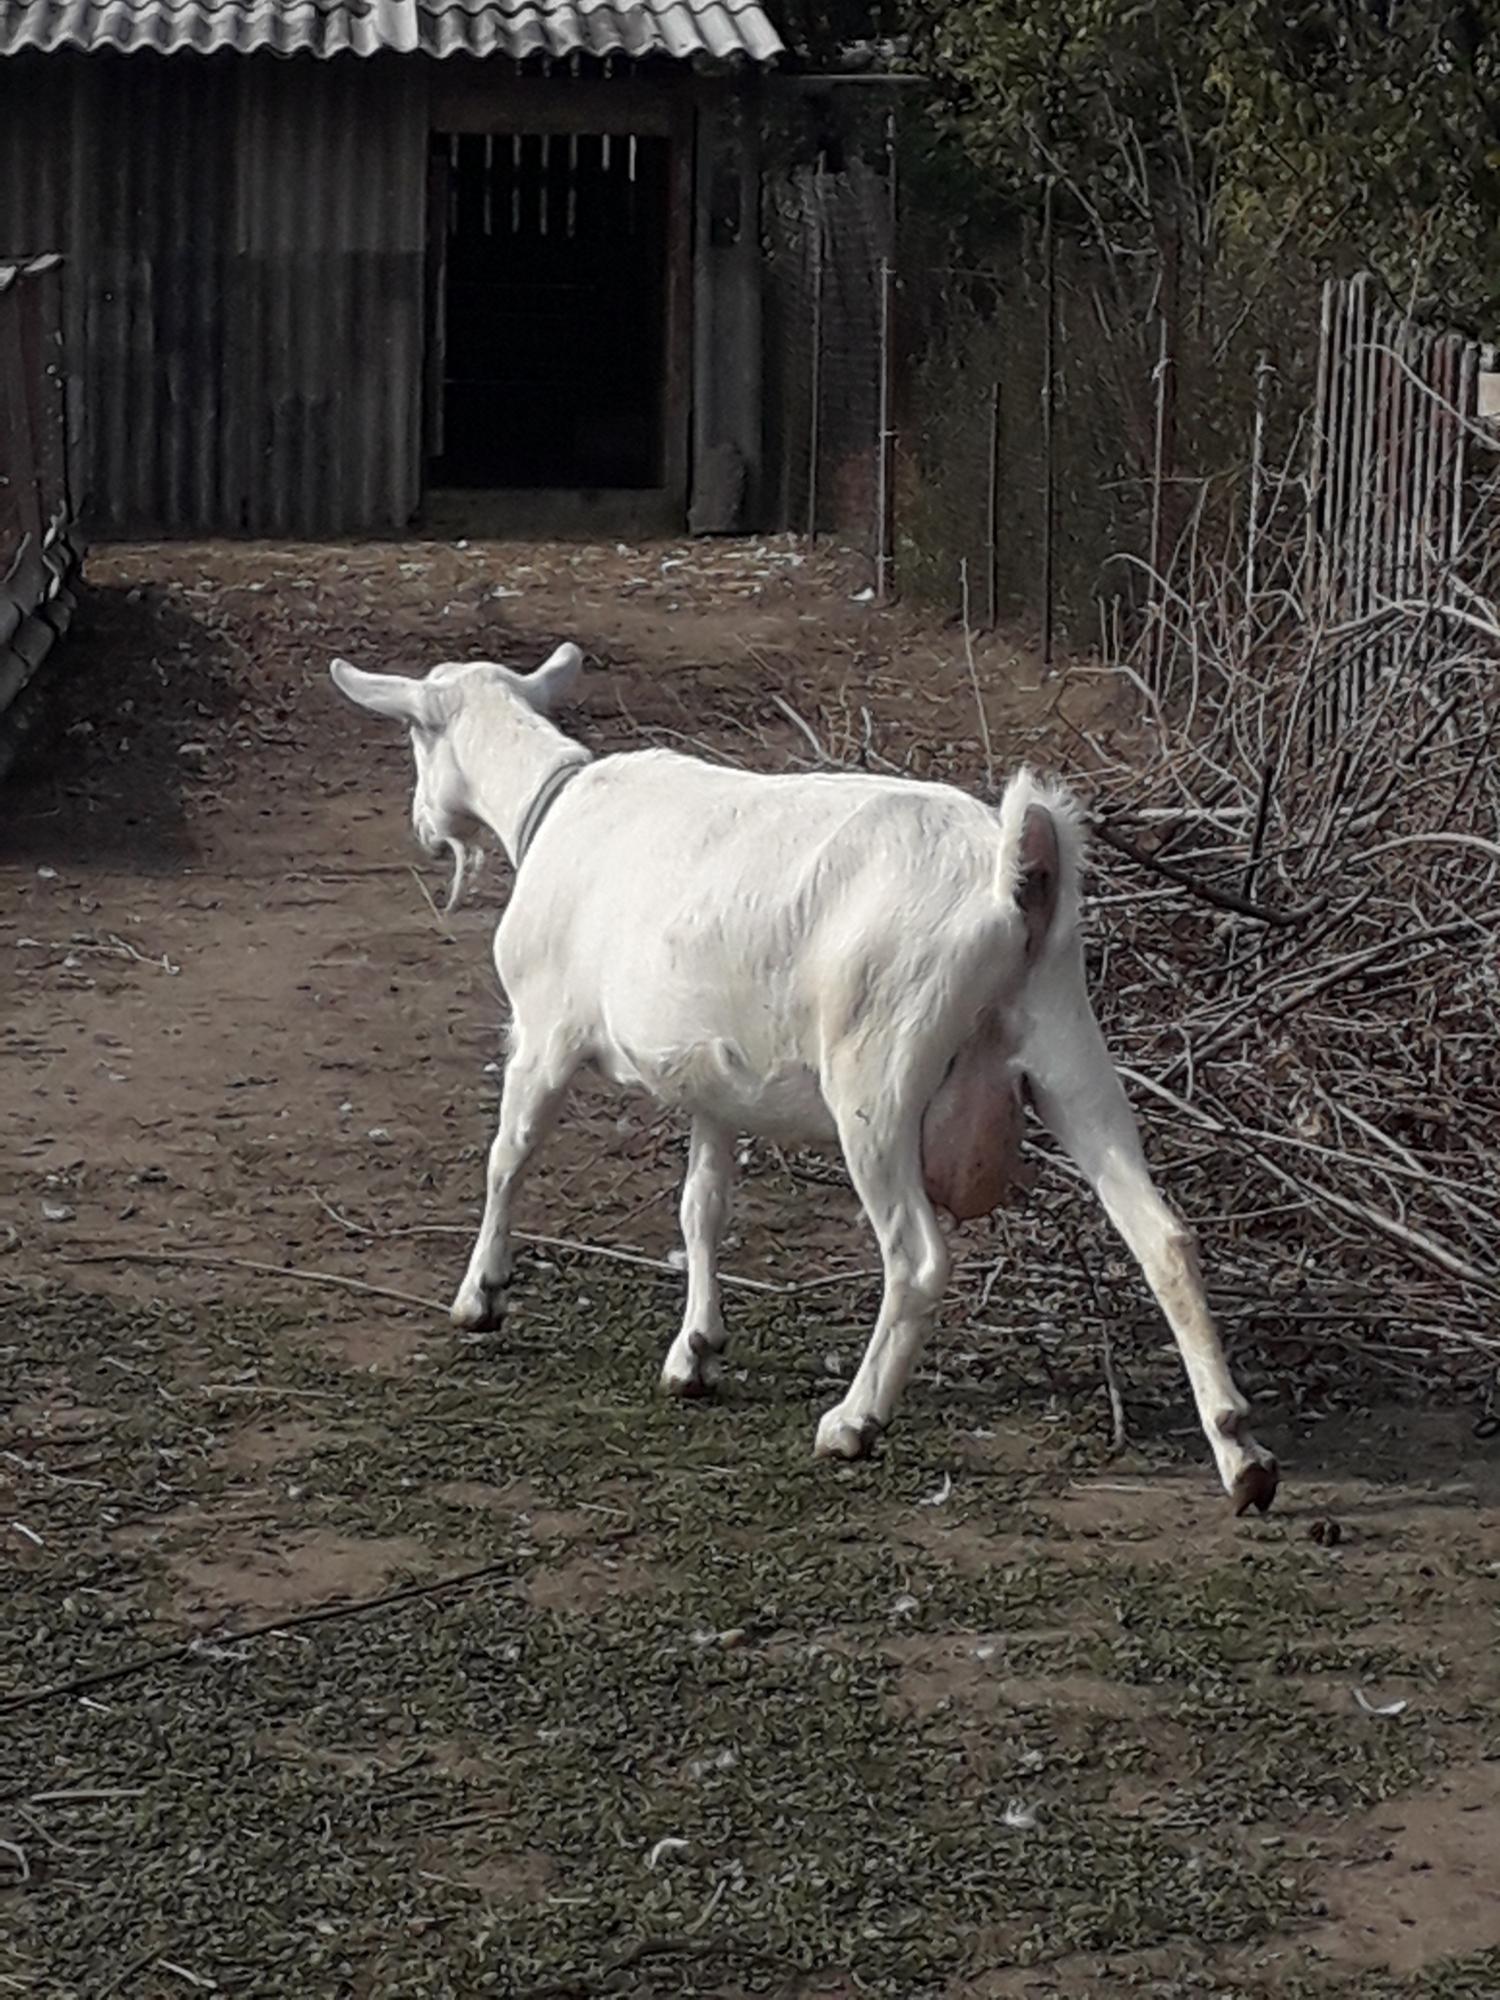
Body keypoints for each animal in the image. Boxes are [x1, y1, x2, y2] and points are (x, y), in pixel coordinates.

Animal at [328, 644, 1280, 1512]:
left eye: (416, 734)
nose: (423, 827)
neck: (550, 804)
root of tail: (1015, 872)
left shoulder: (544, 1031)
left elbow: (508, 1156)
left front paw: (479, 1297)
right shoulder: (712, 1082)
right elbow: (702, 1207)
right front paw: (694, 1353)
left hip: (878, 1070)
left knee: (917, 1258)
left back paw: (854, 1422)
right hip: (1067, 1042)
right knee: (1161, 1236)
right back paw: (1240, 1452)